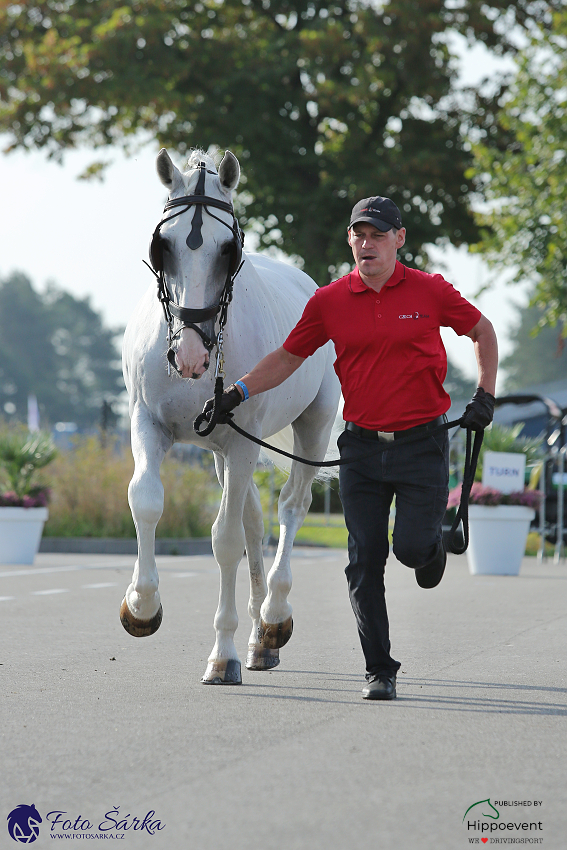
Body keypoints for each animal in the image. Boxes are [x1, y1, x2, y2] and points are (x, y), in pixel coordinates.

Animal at [121, 147, 340, 684]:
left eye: (228, 251)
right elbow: (146, 501)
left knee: (291, 507)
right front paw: (142, 605)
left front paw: (223, 654)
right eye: (163, 245)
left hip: (310, 425)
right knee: (255, 520)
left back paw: (274, 616)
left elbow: (224, 539)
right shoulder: (148, 424)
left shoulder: (244, 441)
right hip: (221, 449)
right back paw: (262, 639)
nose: (191, 355)